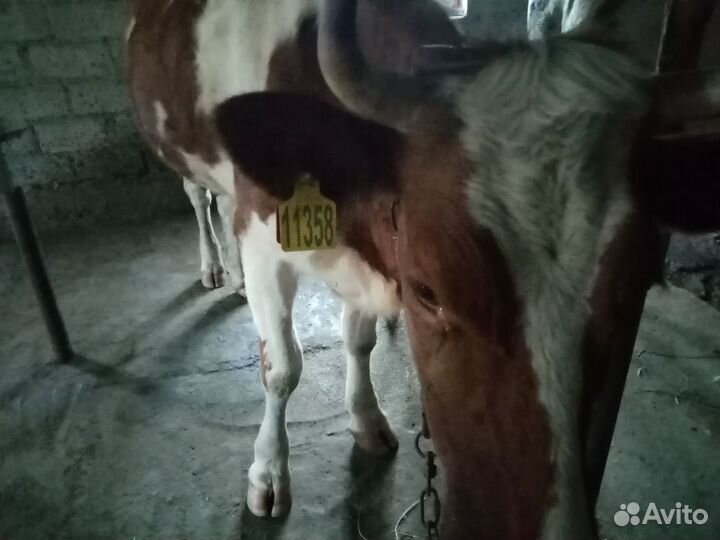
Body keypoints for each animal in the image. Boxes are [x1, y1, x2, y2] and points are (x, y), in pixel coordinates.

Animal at [210, 0, 720, 538]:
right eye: (426, 290)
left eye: (641, 282)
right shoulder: (261, 240)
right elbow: (283, 368)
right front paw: (268, 473)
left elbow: (359, 340)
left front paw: (367, 420)